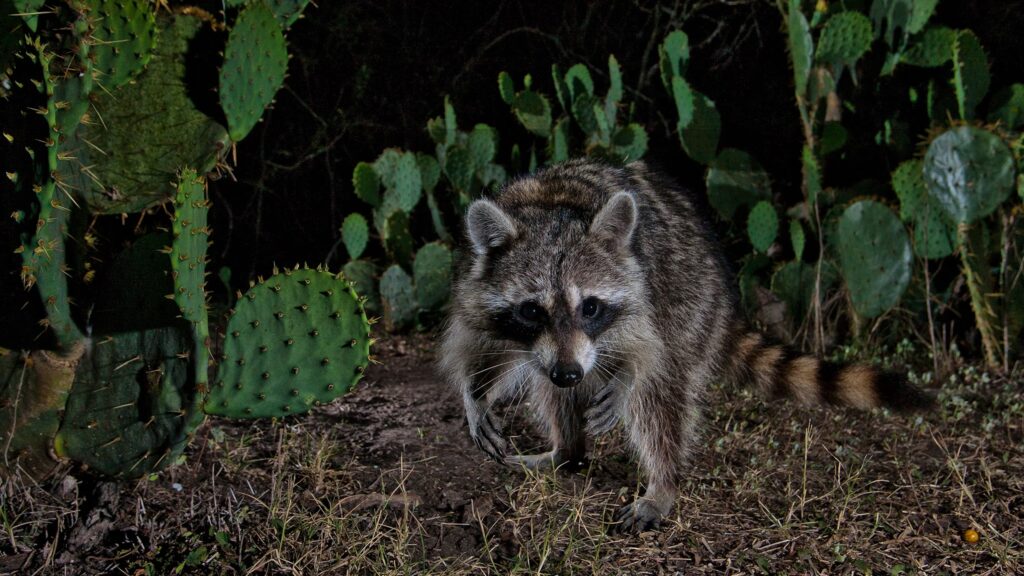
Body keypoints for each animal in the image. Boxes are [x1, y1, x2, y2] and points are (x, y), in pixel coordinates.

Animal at [436, 156, 933, 528]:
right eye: (532, 311)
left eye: (590, 307)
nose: (570, 371)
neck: (552, 207)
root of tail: (723, 290)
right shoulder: (476, 289)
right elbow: (481, 345)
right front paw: (475, 395)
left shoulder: (643, 290)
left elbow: (646, 355)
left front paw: (626, 380)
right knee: (551, 390)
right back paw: (568, 451)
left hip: (691, 302)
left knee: (660, 397)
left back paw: (661, 481)